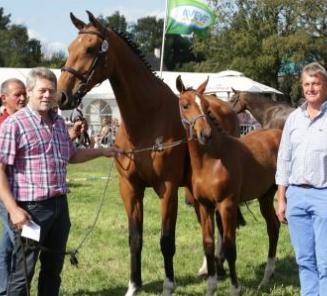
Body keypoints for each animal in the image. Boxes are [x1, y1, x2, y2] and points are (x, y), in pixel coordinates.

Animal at [55, 10, 241, 294]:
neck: (146, 119)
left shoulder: (167, 189)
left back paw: (217, 268)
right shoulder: (130, 188)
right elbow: (135, 238)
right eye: (69, 48)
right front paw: (134, 285)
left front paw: (169, 285)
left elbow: (166, 240)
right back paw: (207, 269)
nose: (62, 96)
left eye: (89, 48)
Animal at [178, 85, 284, 294]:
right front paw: (211, 287)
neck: (212, 160)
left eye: (206, 105)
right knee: (274, 227)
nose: (205, 134)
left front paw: (235, 288)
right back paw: (266, 278)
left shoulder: (227, 205)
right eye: (185, 105)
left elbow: (229, 247)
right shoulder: (205, 205)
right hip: (265, 196)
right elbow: (208, 244)